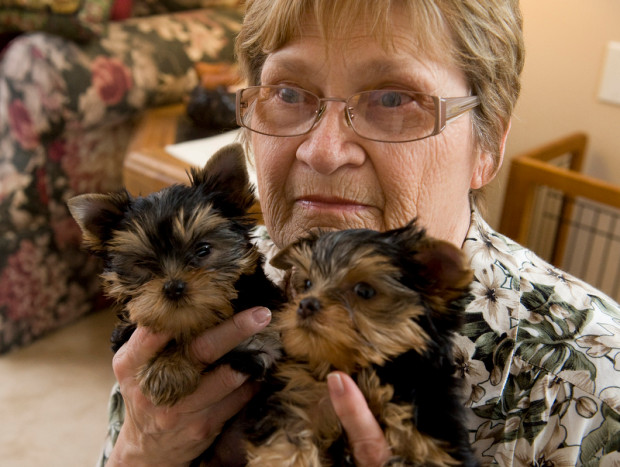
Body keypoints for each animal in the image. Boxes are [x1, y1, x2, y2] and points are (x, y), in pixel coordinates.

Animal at [245, 225, 478, 466]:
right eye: (308, 284)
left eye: (364, 291)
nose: (306, 304)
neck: (359, 371)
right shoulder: (299, 399)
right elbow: (286, 443)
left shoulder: (431, 433)